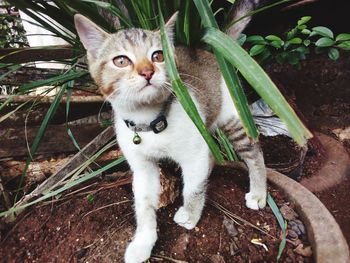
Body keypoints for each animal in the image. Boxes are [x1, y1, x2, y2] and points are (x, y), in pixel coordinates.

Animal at [74, 3, 266, 263]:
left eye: (158, 56)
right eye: (121, 60)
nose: (147, 72)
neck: (149, 123)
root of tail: (205, 50)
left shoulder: (194, 154)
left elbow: (193, 187)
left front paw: (190, 214)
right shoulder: (142, 168)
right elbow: (144, 204)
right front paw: (143, 242)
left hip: (231, 116)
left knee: (253, 151)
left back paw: (258, 192)